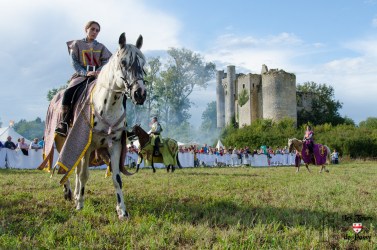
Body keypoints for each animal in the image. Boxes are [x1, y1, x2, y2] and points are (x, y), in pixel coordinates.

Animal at [61, 33, 145, 219]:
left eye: (143, 65)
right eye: (123, 62)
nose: (140, 94)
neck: (107, 106)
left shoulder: (115, 145)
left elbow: (117, 179)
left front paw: (122, 210)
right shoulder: (85, 144)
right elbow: (83, 175)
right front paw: (80, 205)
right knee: (73, 169)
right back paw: (71, 193)